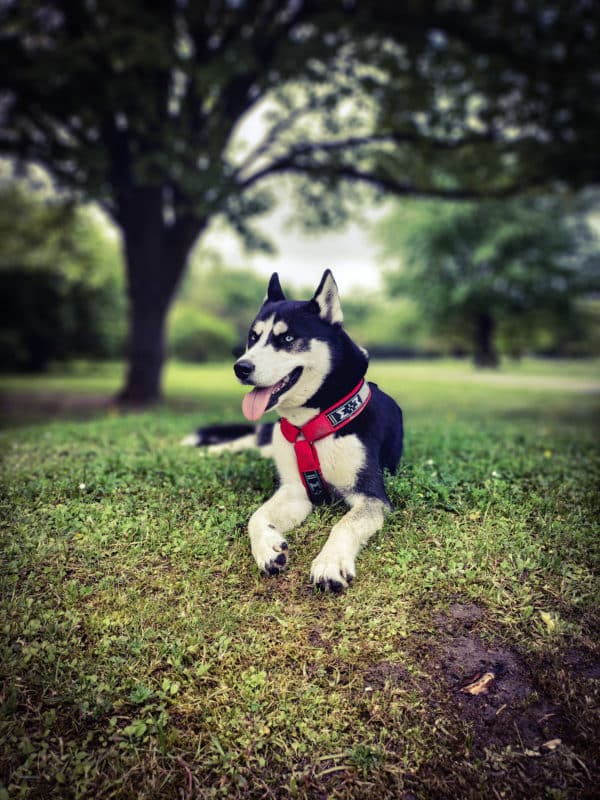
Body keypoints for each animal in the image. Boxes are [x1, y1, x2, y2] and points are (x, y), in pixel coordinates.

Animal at [188, 272, 404, 592]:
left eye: (287, 339)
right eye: (254, 337)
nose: (241, 367)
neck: (311, 423)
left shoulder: (370, 495)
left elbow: (345, 524)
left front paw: (330, 562)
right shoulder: (295, 490)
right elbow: (256, 516)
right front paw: (267, 548)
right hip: (270, 441)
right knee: (248, 440)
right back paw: (211, 451)